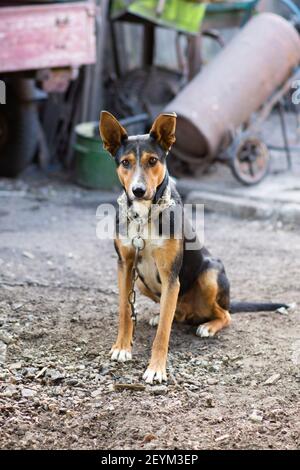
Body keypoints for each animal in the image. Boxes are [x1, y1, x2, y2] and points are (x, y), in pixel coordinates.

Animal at [99, 112, 292, 384]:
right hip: (143, 283)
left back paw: (208, 326)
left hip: (210, 273)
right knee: (175, 313)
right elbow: (126, 311)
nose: (138, 190)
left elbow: (163, 333)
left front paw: (156, 369)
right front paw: (122, 347)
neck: (145, 215)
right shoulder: (125, 265)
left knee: (223, 313)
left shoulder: (171, 275)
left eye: (152, 160)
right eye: (125, 163)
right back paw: (162, 315)